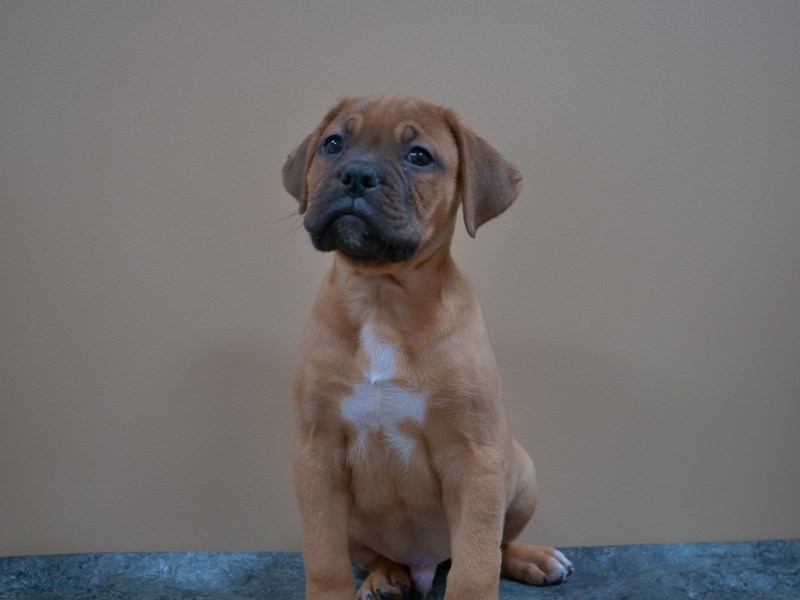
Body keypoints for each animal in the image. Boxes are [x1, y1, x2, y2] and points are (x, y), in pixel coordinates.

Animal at [284, 95, 572, 600]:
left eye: (419, 156)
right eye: (333, 144)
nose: (357, 175)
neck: (382, 297)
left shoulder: (474, 458)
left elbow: (477, 561)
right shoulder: (316, 454)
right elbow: (323, 556)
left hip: (521, 473)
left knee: (497, 545)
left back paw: (531, 558)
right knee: (372, 555)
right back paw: (386, 578)